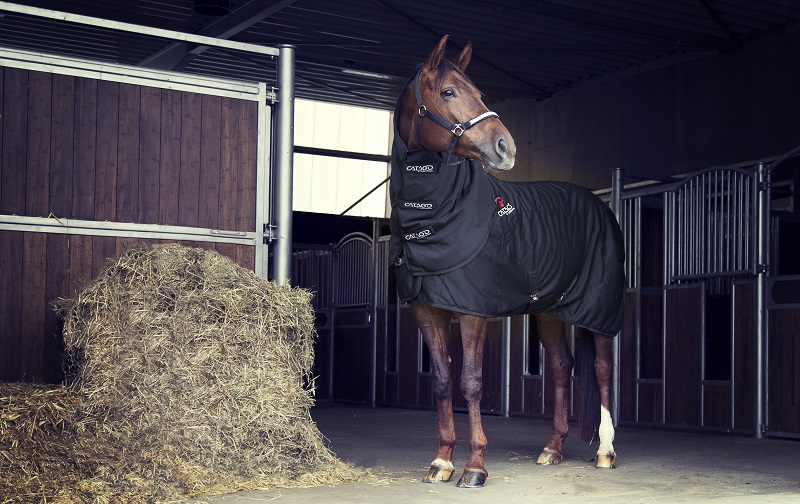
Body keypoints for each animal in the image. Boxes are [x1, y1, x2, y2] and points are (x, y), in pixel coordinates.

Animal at [388, 36, 625, 488]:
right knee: (561, 366)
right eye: (449, 92)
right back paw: (552, 449)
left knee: (603, 368)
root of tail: (597, 203)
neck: (436, 214)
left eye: (481, 93)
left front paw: (475, 466)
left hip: (597, 310)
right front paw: (441, 461)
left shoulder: (472, 311)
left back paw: (606, 451)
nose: (506, 148)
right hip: (549, 311)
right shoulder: (427, 309)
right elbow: (442, 383)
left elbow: (471, 381)